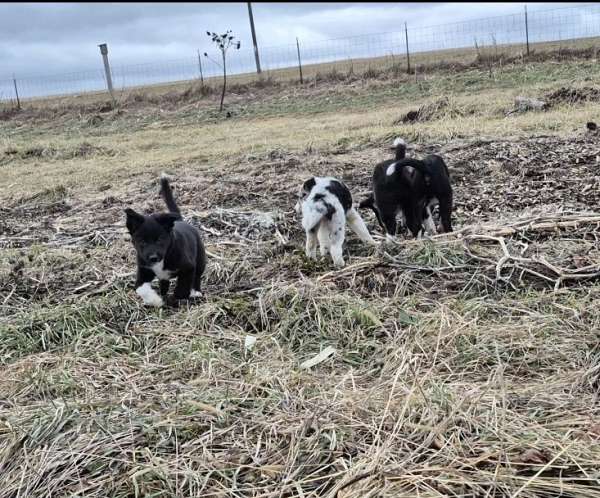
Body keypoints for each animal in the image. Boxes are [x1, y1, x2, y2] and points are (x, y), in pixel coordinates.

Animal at [124, 175, 206, 308]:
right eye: (142, 241)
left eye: (160, 239)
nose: (153, 258)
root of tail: (180, 221)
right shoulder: (144, 270)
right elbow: (140, 288)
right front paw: (155, 300)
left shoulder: (188, 267)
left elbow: (182, 288)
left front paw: (176, 298)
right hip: (163, 277)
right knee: (164, 283)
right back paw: (163, 294)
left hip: (200, 259)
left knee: (197, 276)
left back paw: (196, 292)